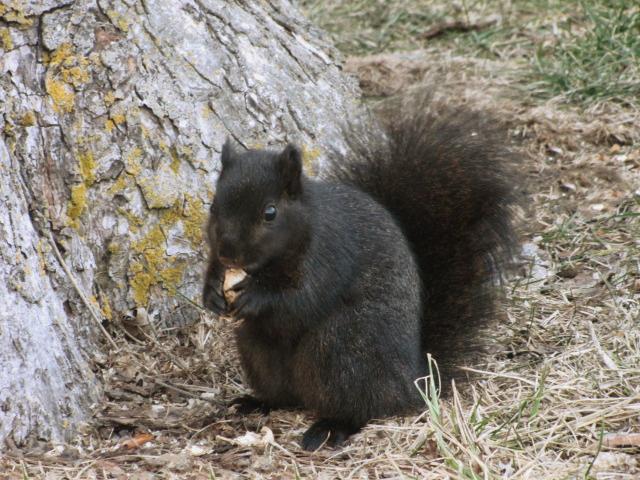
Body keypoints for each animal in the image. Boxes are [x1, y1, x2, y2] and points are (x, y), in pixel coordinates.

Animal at [202, 93, 516, 450]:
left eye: (270, 212)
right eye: (213, 206)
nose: (228, 253)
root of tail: (411, 381)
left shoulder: (329, 255)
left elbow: (301, 299)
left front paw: (254, 297)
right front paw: (211, 293)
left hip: (341, 352)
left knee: (360, 408)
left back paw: (330, 427)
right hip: (258, 350)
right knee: (286, 396)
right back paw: (255, 402)